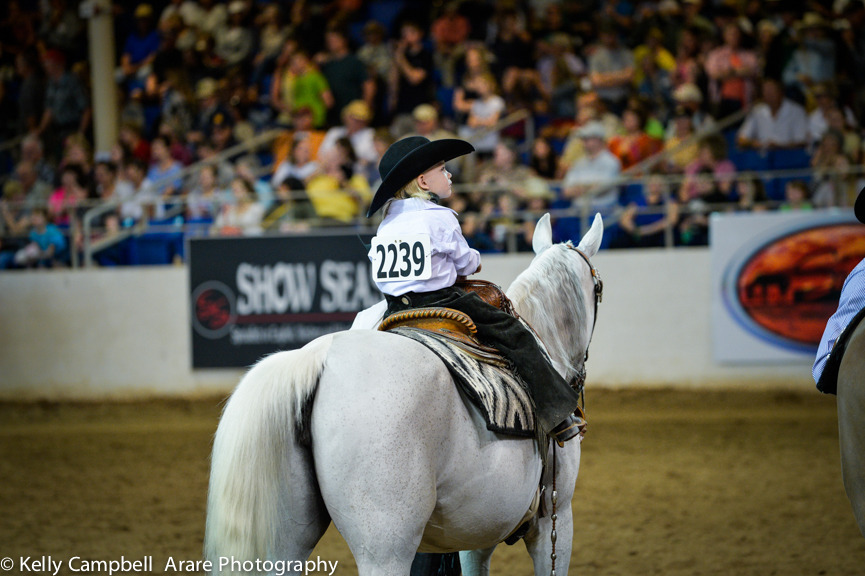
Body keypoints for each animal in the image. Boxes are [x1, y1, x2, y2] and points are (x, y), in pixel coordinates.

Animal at [204, 213, 605, 575]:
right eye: (599, 288)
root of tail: (318, 358)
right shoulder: (554, 518)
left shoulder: (478, 534)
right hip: (385, 546)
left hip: (285, 540)